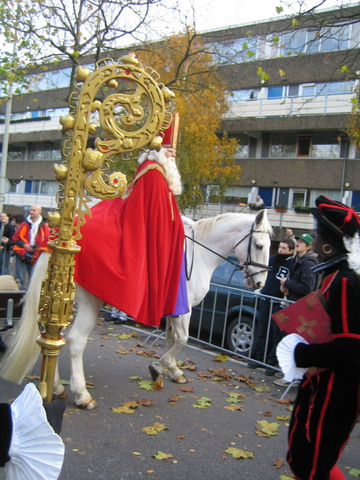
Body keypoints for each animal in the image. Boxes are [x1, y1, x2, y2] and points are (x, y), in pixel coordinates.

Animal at [0, 210, 270, 408]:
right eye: (258, 245)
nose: (260, 284)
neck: (200, 252)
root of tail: (61, 245)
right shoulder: (184, 311)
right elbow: (182, 339)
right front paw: (158, 367)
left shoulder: (172, 312)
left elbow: (172, 339)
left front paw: (174, 371)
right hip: (89, 304)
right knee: (75, 341)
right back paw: (82, 395)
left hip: (64, 306)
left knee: (54, 337)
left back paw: (55, 386)